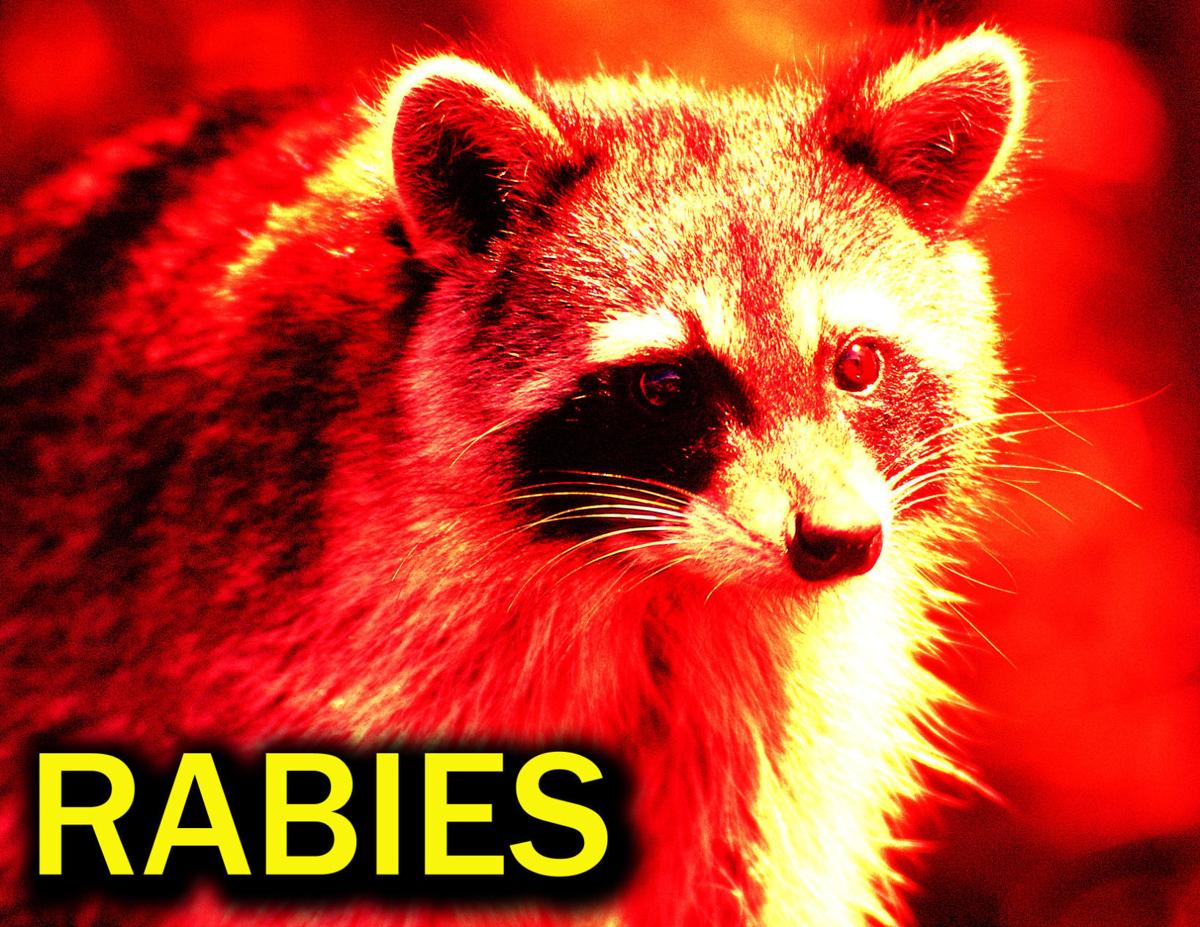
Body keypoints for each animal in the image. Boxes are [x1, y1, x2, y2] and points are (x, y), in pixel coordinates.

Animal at [1, 25, 1029, 927]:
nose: (837, 542)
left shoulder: (781, 725)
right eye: (664, 385)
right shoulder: (304, 654)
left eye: (856, 364)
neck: (653, 577)